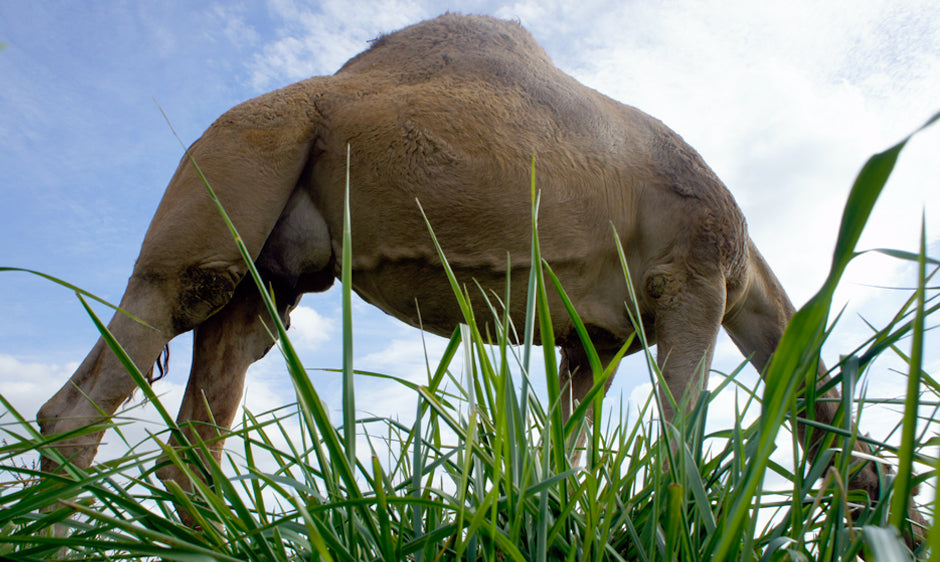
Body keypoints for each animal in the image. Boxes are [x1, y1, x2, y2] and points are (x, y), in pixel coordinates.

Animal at [40, 12, 920, 544]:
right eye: (887, 489)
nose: (913, 531)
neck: (749, 274)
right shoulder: (693, 284)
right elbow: (677, 460)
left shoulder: (597, 343)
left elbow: (560, 460)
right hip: (230, 178)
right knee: (85, 400)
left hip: (268, 279)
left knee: (195, 440)